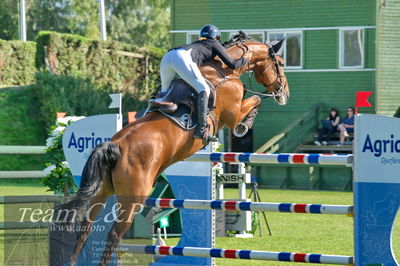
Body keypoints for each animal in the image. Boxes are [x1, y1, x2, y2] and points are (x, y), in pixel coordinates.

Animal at [67, 32, 290, 264]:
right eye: (281, 63)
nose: (285, 93)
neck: (224, 72)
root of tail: (115, 145)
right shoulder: (233, 113)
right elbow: (254, 100)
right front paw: (244, 126)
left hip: (102, 192)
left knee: (85, 228)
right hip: (133, 198)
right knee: (113, 235)